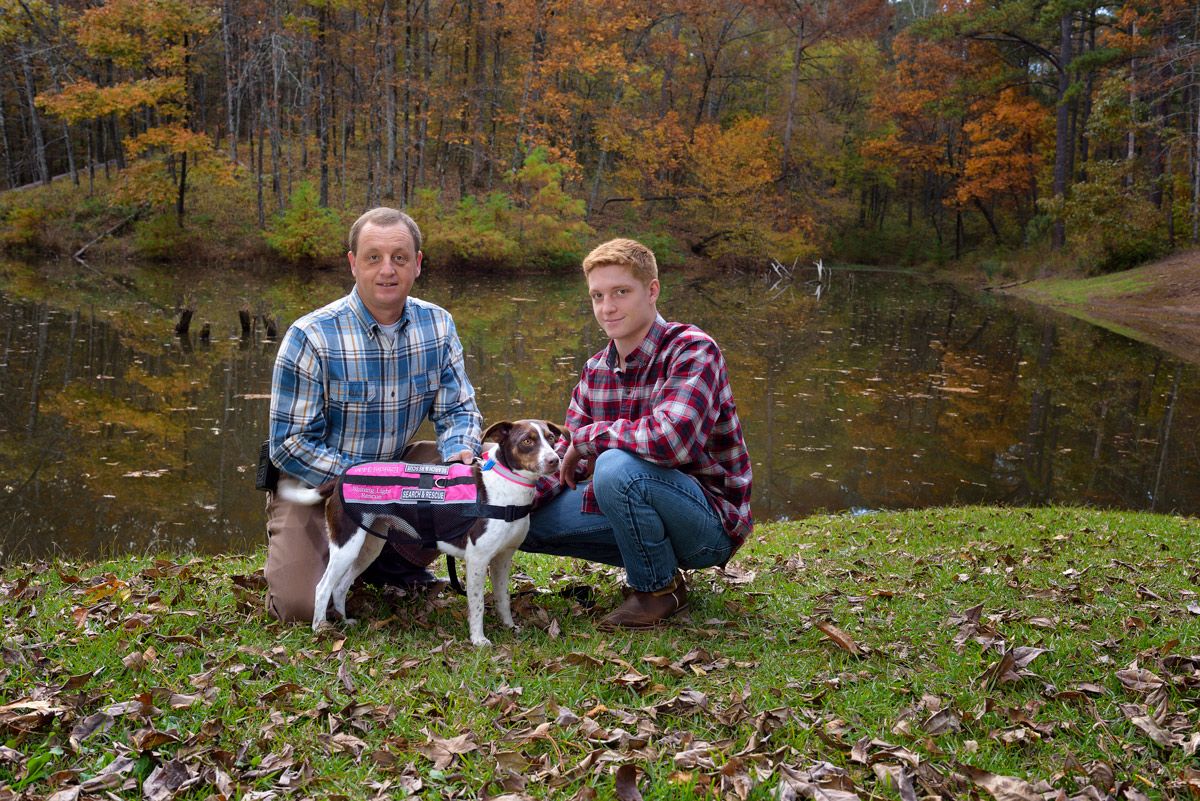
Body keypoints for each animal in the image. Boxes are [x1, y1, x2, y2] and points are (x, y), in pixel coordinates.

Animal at [277, 422, 561, 647]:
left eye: (552, 439)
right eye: (527, 441)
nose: (555, 460)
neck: (506, 488)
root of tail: (338, 479)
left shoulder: (503, 559)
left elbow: (503, 599)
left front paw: (509, 627)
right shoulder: (478, 560)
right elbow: (477, 604)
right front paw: (478, 639)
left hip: (368, 546)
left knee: (341, 585)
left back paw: (345, 620)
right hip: (346, 543)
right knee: (323, 587)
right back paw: (320, 629)